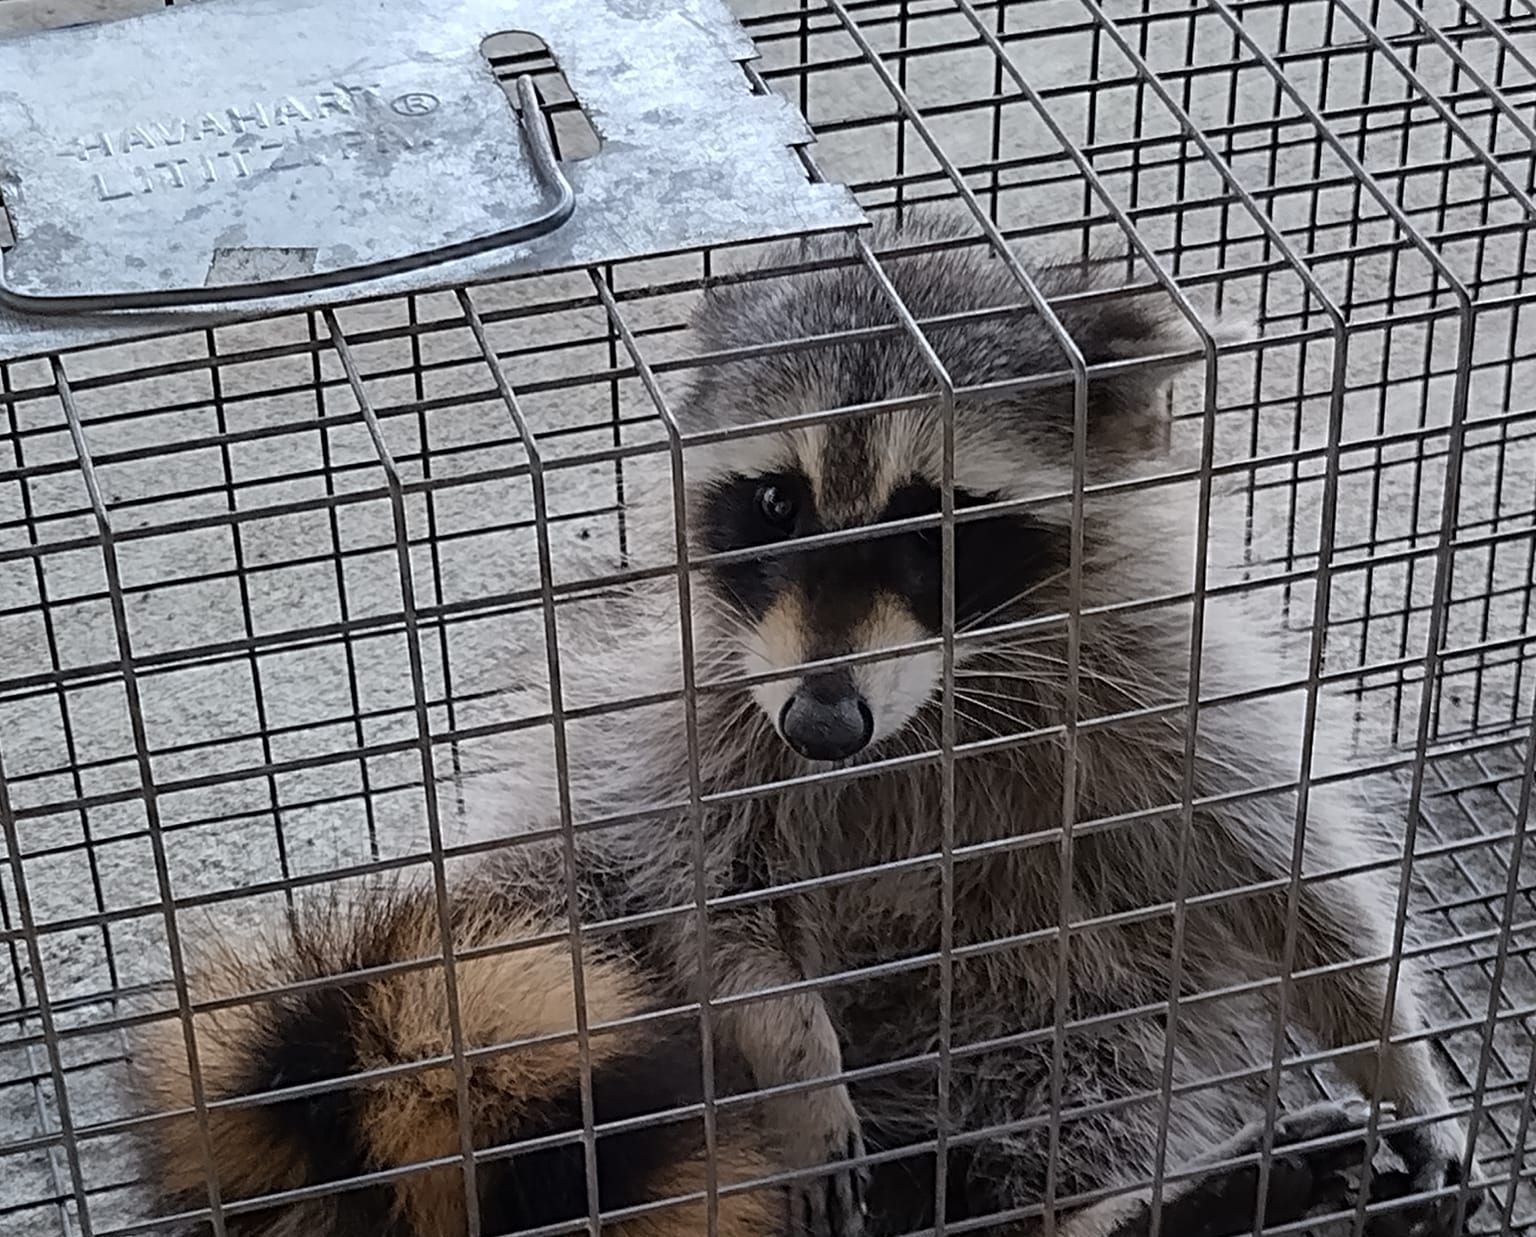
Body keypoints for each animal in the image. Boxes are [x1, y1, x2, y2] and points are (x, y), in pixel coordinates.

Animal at [460, 214, 1481, 1237]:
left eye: (934, 525)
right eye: (777, 502)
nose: (823, 725)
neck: (936, 705)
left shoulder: (1158, 676)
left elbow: (1288, 864)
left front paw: (1397, 1052)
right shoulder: (694, 711)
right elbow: (710, 896)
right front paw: (794, 1050)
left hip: (1052, 1004)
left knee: (1090, 1077)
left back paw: (1148, 1204)